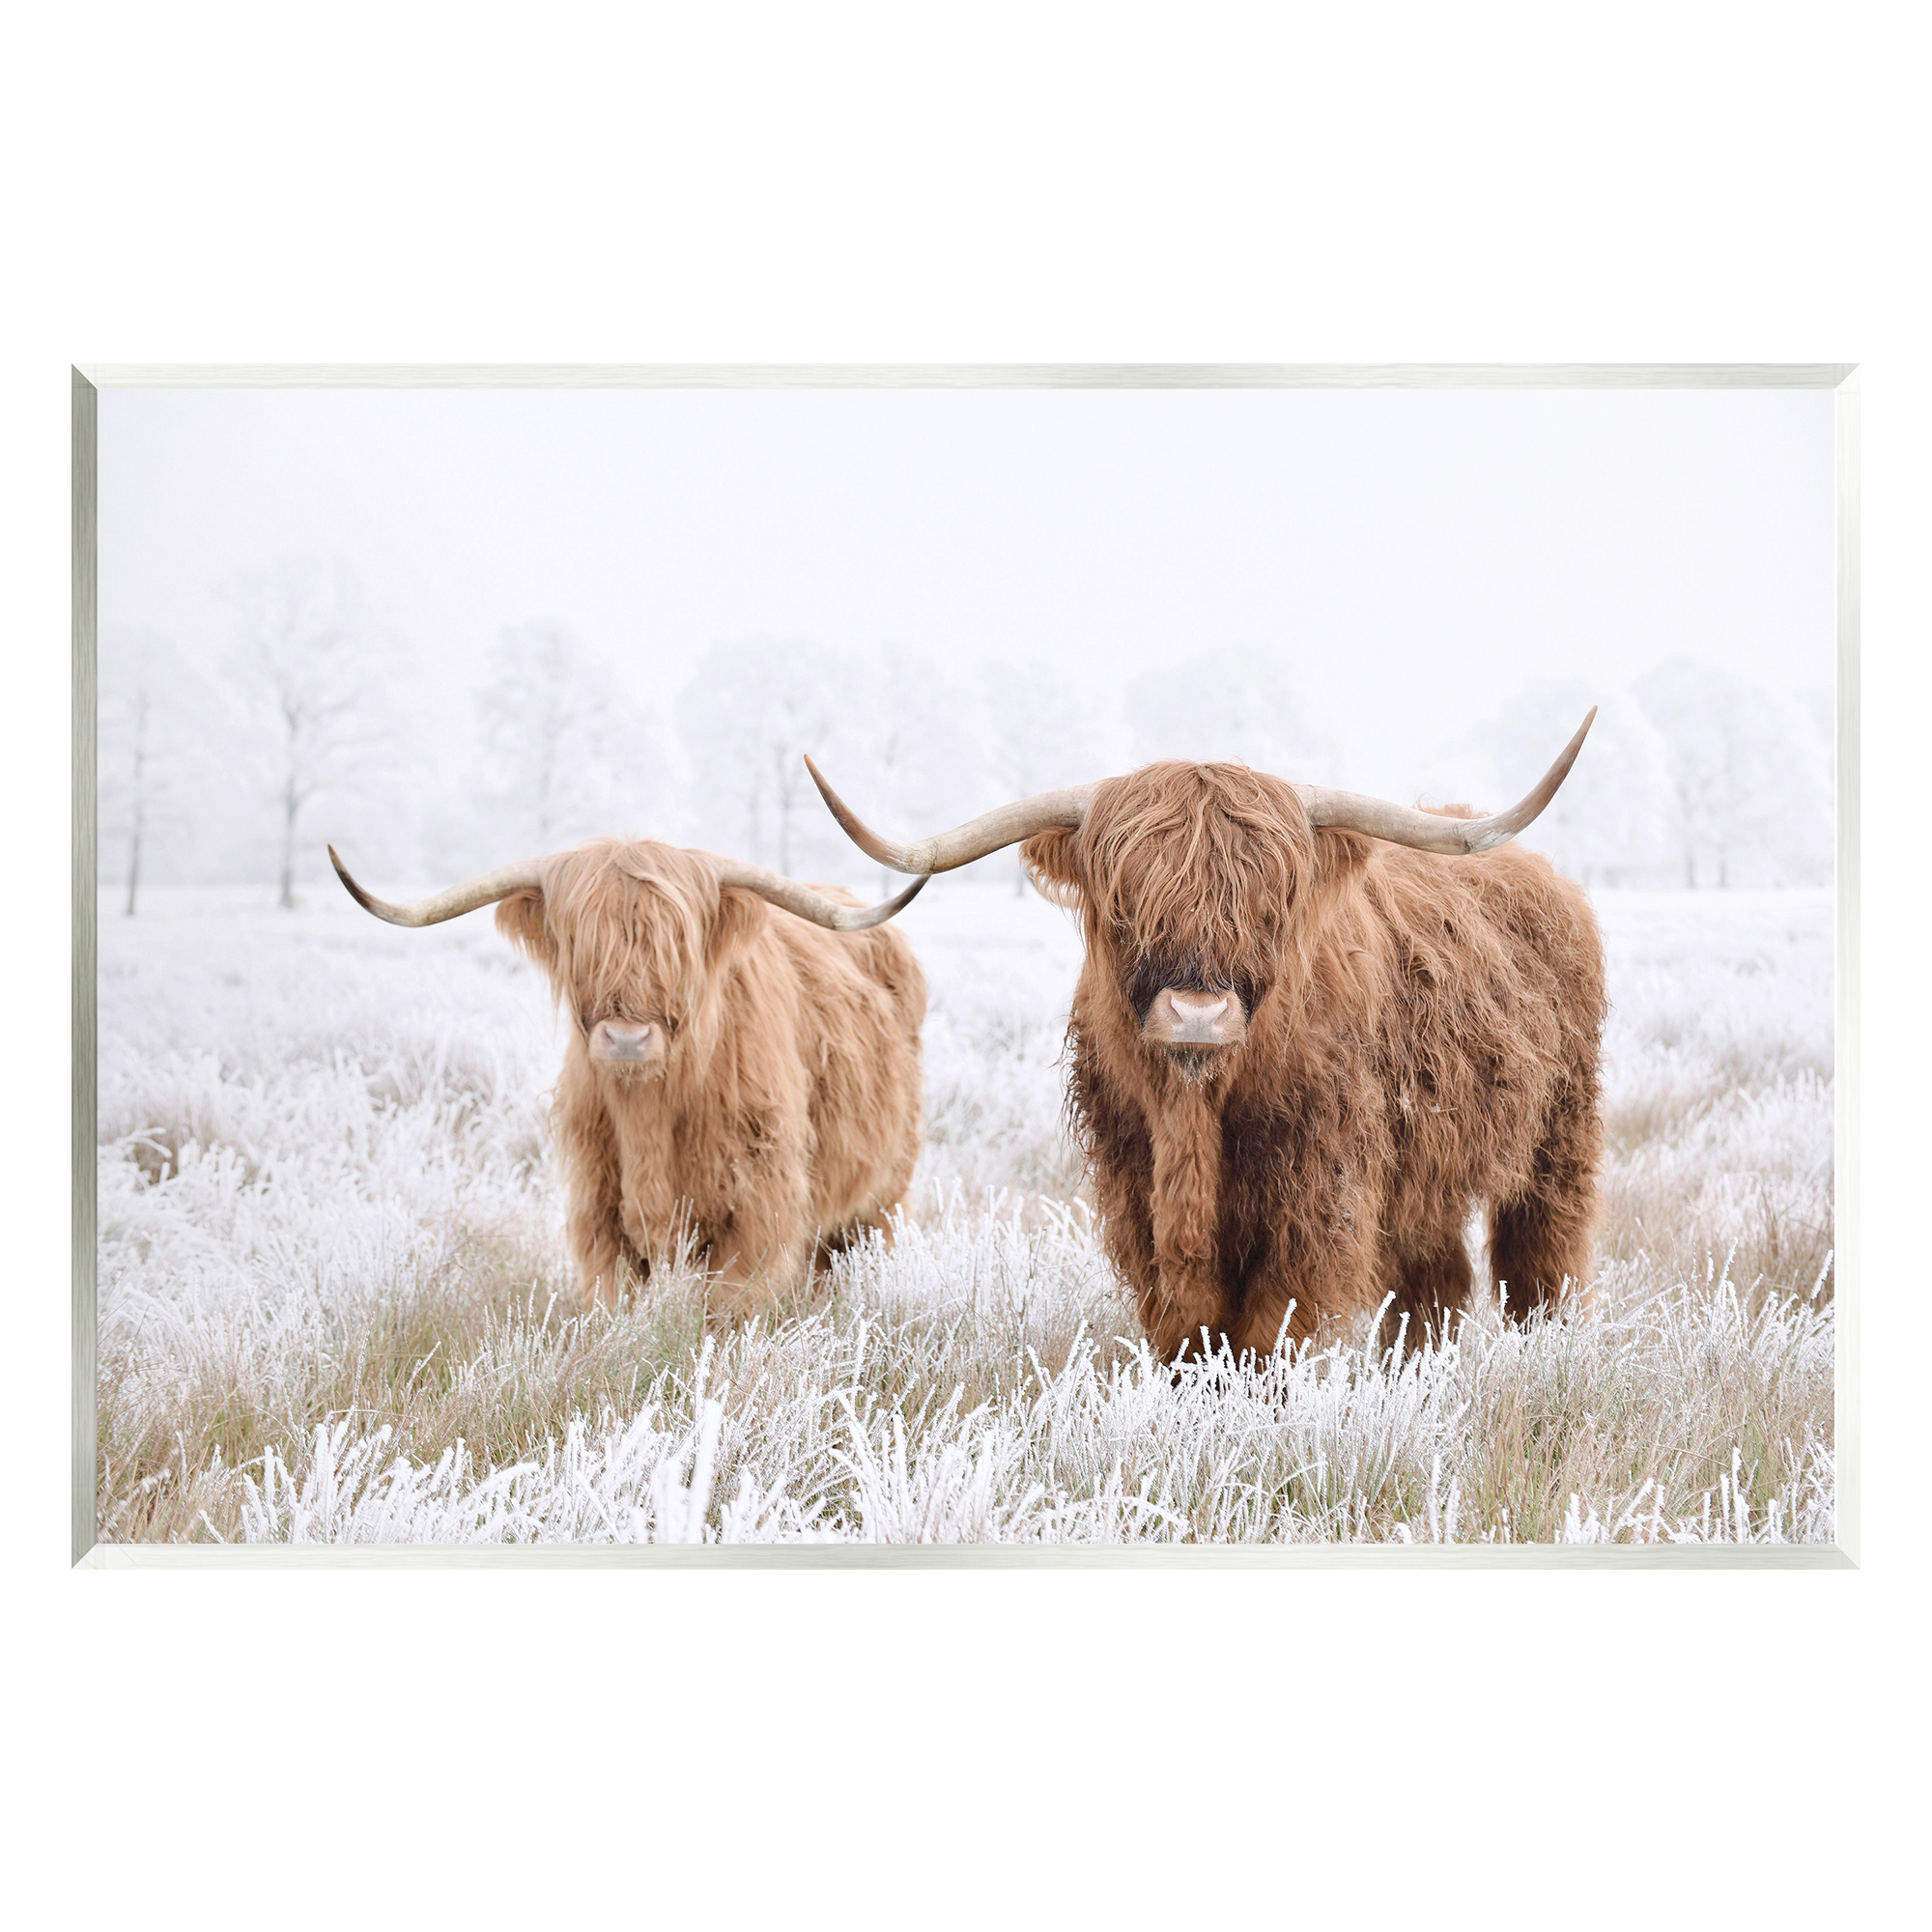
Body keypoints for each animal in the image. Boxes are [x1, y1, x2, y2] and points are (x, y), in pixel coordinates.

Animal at [329, 838, 930, 1318]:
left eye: (677, 945)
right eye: (580, 943)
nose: (626, 1039)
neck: (650, 1114)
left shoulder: (758, 1210)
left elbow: (727, 1309)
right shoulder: (598, 1212)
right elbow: (615, 1305)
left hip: (881, 1196)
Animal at [803, 714, 1606, 1362]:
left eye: (1271, 904)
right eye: (1124, 904)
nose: (1197, 1014)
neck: (1195, 1115)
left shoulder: (1318, 1197)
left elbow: (1269, 1332)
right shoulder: (1137, 1193)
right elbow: (1186, 1331)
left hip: (1560, 1134)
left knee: (1541, 1259)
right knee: (1435, 1282)